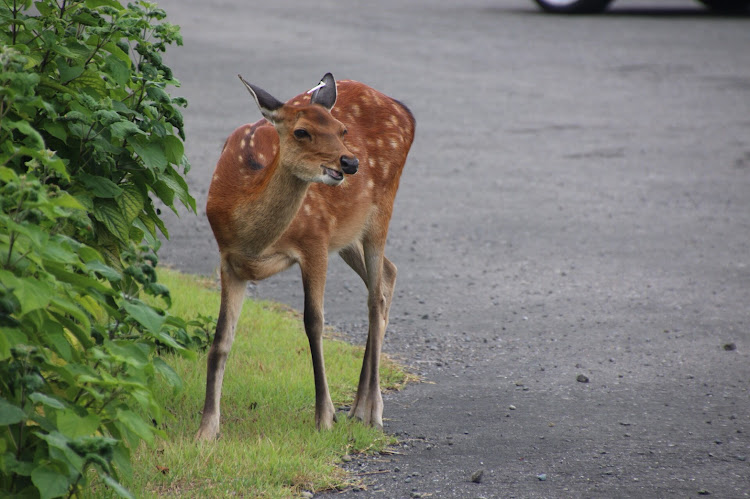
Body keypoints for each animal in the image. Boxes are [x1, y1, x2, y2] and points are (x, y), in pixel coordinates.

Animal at [195, 71, 418, 442]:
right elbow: (221, 340)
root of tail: (405, 112)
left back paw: (372, 412)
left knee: (375, 297)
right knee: (389, 273)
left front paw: (324, 417)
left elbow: (314, 323)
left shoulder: (315, 239)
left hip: (381, 207)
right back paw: (358, 409)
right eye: (301, 132)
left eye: (342, 129)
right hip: (348, 233)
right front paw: (207, 430)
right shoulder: (229, 259)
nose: (350, 162)